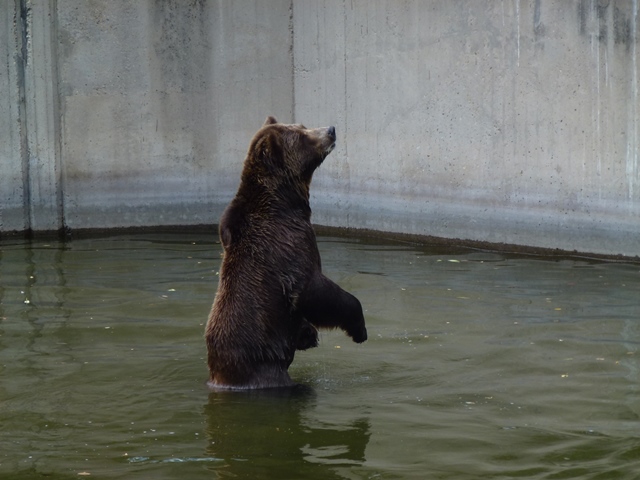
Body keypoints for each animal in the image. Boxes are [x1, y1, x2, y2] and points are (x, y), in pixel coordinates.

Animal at [205, 116, 367, 389]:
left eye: (302, 126)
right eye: (302, 136)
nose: (331, 130)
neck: (285, 202)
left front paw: (308, 334)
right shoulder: (289, 248)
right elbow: (315, 291)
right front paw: (359, 328)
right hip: (266, 370)